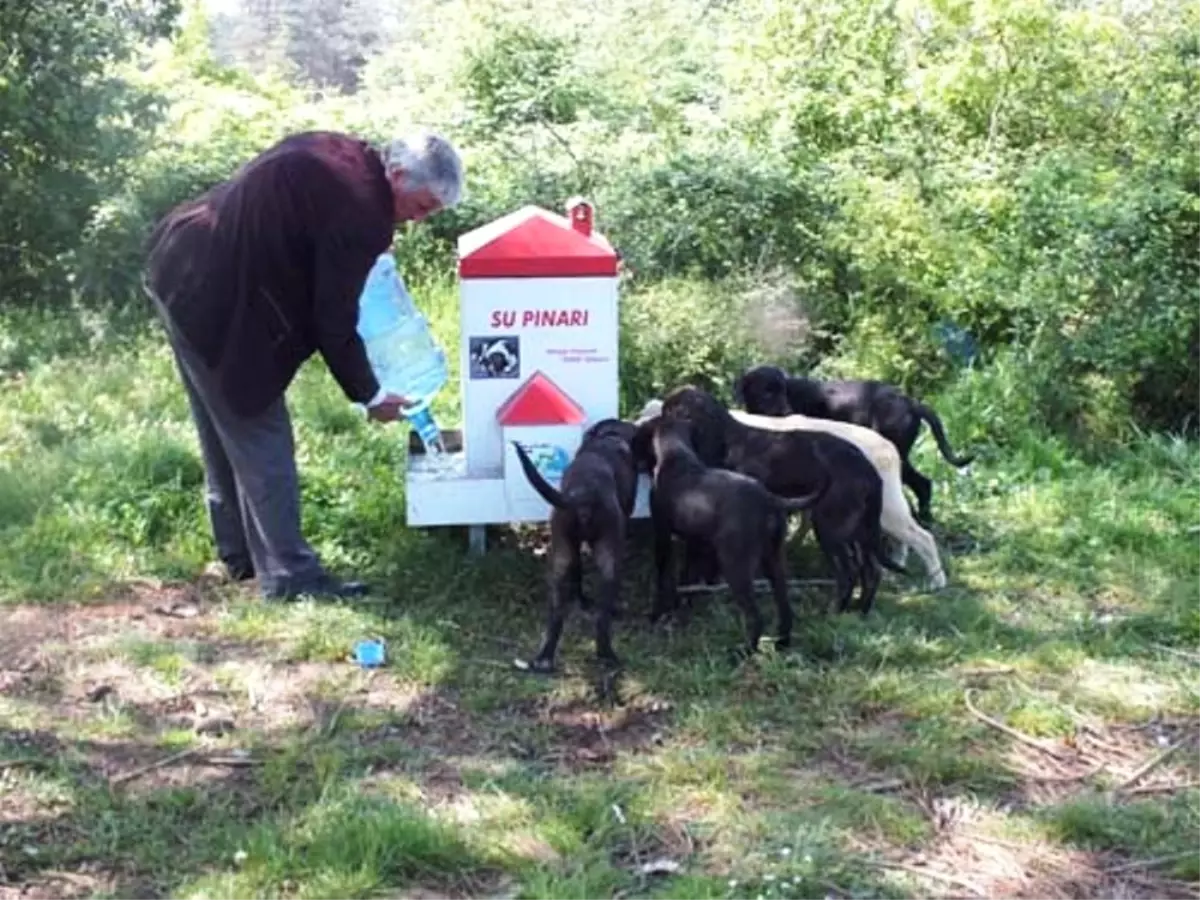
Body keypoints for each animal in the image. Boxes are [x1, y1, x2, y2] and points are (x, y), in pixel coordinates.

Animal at [511, 420, 643, 672]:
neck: (607, 438)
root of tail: (583, 495)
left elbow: (578, 572)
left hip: (560, 554)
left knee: (556, 615)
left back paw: (544, 658)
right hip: (609, 555)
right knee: (602, 618)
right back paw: (608, 654)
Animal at [638, 417, 825, 662]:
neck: (676, 456)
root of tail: (769, 499)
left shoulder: (663, 536)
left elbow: (663, 579)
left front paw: (657, 613)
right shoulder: (695, 544)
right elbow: (688, 578)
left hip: (736, 566)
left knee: (755, 616)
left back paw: (743, 651)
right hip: (774, 561)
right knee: (784, 607)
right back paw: (782, 643)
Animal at [662, 384, 902, 619]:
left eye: (669, 411)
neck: (725, 439)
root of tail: (869, 471)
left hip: (830, 527)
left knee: (848, 572)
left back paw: (834, 613)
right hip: (859, 530)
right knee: (872, 571)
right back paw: (860, 612)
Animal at [729, 364, 974, 525]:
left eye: (783, 390)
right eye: (767, 392)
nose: (787, 411)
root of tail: (911, 402)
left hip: (894, 455)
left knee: (922, 484)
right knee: (923, 483)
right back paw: (925, 518)